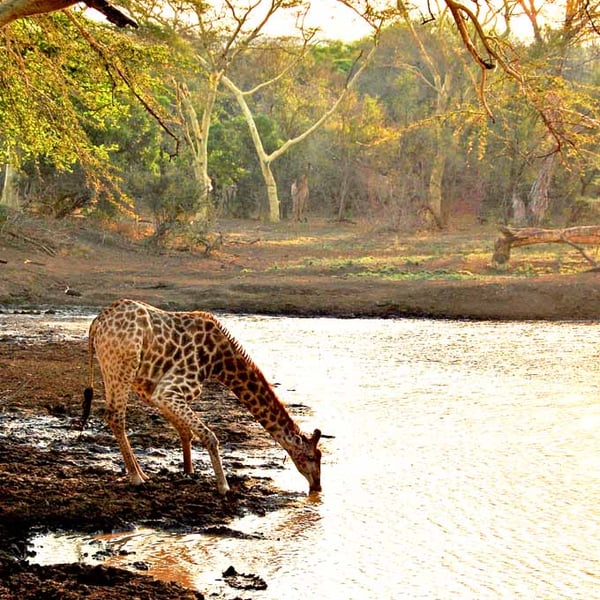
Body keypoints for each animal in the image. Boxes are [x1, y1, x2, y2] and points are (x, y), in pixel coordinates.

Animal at [83, 298, 324, 494]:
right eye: (312, 457)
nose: (317, 487)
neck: (221, 362)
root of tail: (97, 323)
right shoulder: (169, 390)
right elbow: (209, 435)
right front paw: (223, 486)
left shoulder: (153, 391)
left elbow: (185, 431)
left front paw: (188, 472)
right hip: (122, 366)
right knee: (115, 416)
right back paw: (136, 478)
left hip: (117, 370)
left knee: (114, 417)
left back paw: (141, 474)